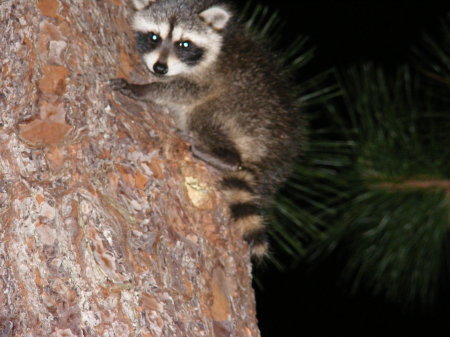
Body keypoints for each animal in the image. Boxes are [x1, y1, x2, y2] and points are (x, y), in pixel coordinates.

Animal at [110, 0, 304, 258]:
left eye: (184, 44)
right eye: (154, 36)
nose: (159, 68)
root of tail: (272, 158)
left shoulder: (212, 76)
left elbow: (184, 90)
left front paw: (143, 90)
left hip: (242, 114)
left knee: (205, 115)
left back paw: (221, 155)